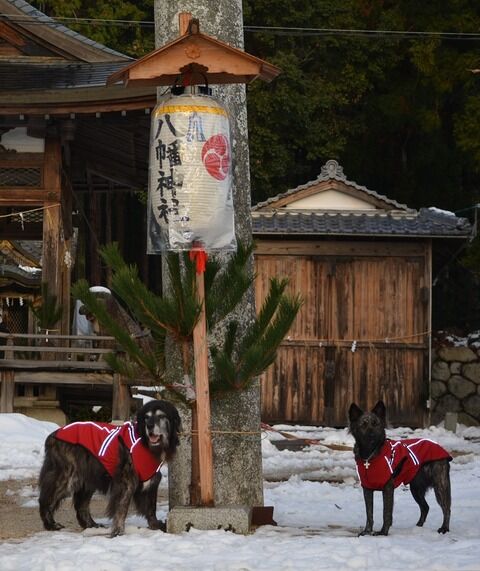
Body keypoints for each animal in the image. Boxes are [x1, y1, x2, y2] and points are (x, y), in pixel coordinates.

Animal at [38, 400, 181, 540]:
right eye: (146, 417)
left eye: (161, 416)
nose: (149, 426)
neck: (144, 442)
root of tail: (53, 435)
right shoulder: (126, 481)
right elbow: (121, 508)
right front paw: (118, 532)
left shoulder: (151, 480)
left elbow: (151, 508)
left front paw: (156, 526)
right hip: (68, 476)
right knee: (46, 499)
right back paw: (51, 524)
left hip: (88, 478)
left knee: (81, 505)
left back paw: (91, 525)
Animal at [348, 400, 450, 540]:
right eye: (363, 425)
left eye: (376, 424)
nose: (372, 435)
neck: (370, 455)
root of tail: (439, 446)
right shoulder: (367, 489)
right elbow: (369, 514)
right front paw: (367, 532)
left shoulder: (388, 488)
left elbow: (386, 513)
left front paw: (383, 532)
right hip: (416, 489)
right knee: (425, 507)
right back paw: (417, 527)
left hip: (440, 486)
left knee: (446, 508)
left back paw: (444, 528)